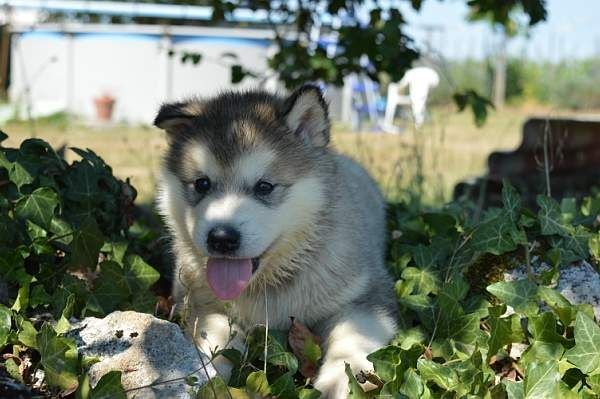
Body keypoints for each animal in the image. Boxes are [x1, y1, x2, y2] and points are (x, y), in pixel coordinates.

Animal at [155, 86, 398, 398]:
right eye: (201, 184)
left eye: (264, 187)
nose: (221, 239)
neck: (267, 287)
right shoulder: (197, 302)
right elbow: (216, 333)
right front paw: (208, 374)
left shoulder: (368, 295)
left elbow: (353, 335)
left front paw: (339, 381)